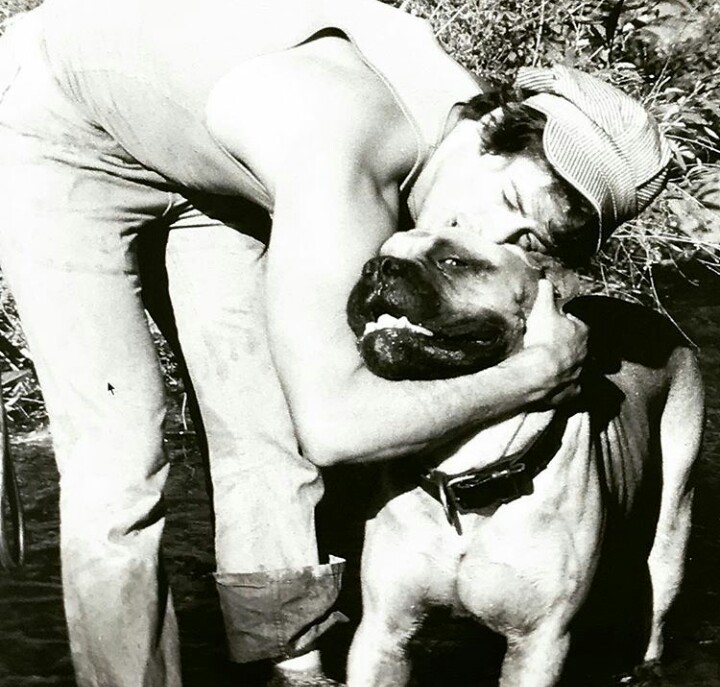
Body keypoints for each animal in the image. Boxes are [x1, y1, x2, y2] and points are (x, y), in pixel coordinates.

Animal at [344, 228, 704, 684]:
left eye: (454, 262)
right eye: (379, 254)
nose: (375, 267)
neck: (467, 474)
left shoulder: (539, 644)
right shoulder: (384, 633)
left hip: (672, 526)